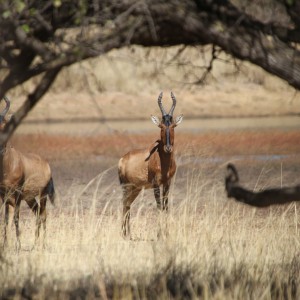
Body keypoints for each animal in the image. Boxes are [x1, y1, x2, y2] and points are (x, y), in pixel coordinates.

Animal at [0, 96, 55, 248]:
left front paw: (18, 245)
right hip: (30, 198)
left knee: (43, 215)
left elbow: (16, 218)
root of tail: (46, 165)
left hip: (42, 195)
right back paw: (36, 243)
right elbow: (5, 219)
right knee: (37, 213)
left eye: (5, 126)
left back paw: (42, 243)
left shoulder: (18, 193)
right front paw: (5, 245)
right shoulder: (3, 195)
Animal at [118, 92, 183, 238]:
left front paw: (166, 233)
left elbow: (165, 207)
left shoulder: (167, 183)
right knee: (124, 205)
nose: (168, 148)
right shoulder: (155, 184)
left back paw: (128, 234)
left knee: (128, 205)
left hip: (135, 188)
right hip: (126, 187)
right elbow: (159, 206)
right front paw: (159, 234)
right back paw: (124, 234)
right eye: (161, 126)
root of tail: (122, 159)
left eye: (173, 126)